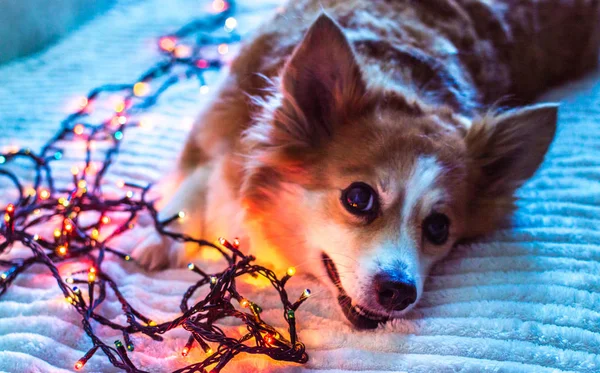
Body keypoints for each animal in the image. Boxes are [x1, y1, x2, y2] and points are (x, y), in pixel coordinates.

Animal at [134, 0, 600, 326]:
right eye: (358, 198)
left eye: (439, 227)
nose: (399, 292)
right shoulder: (221, 117)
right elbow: (197, 176)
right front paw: (159, 236)